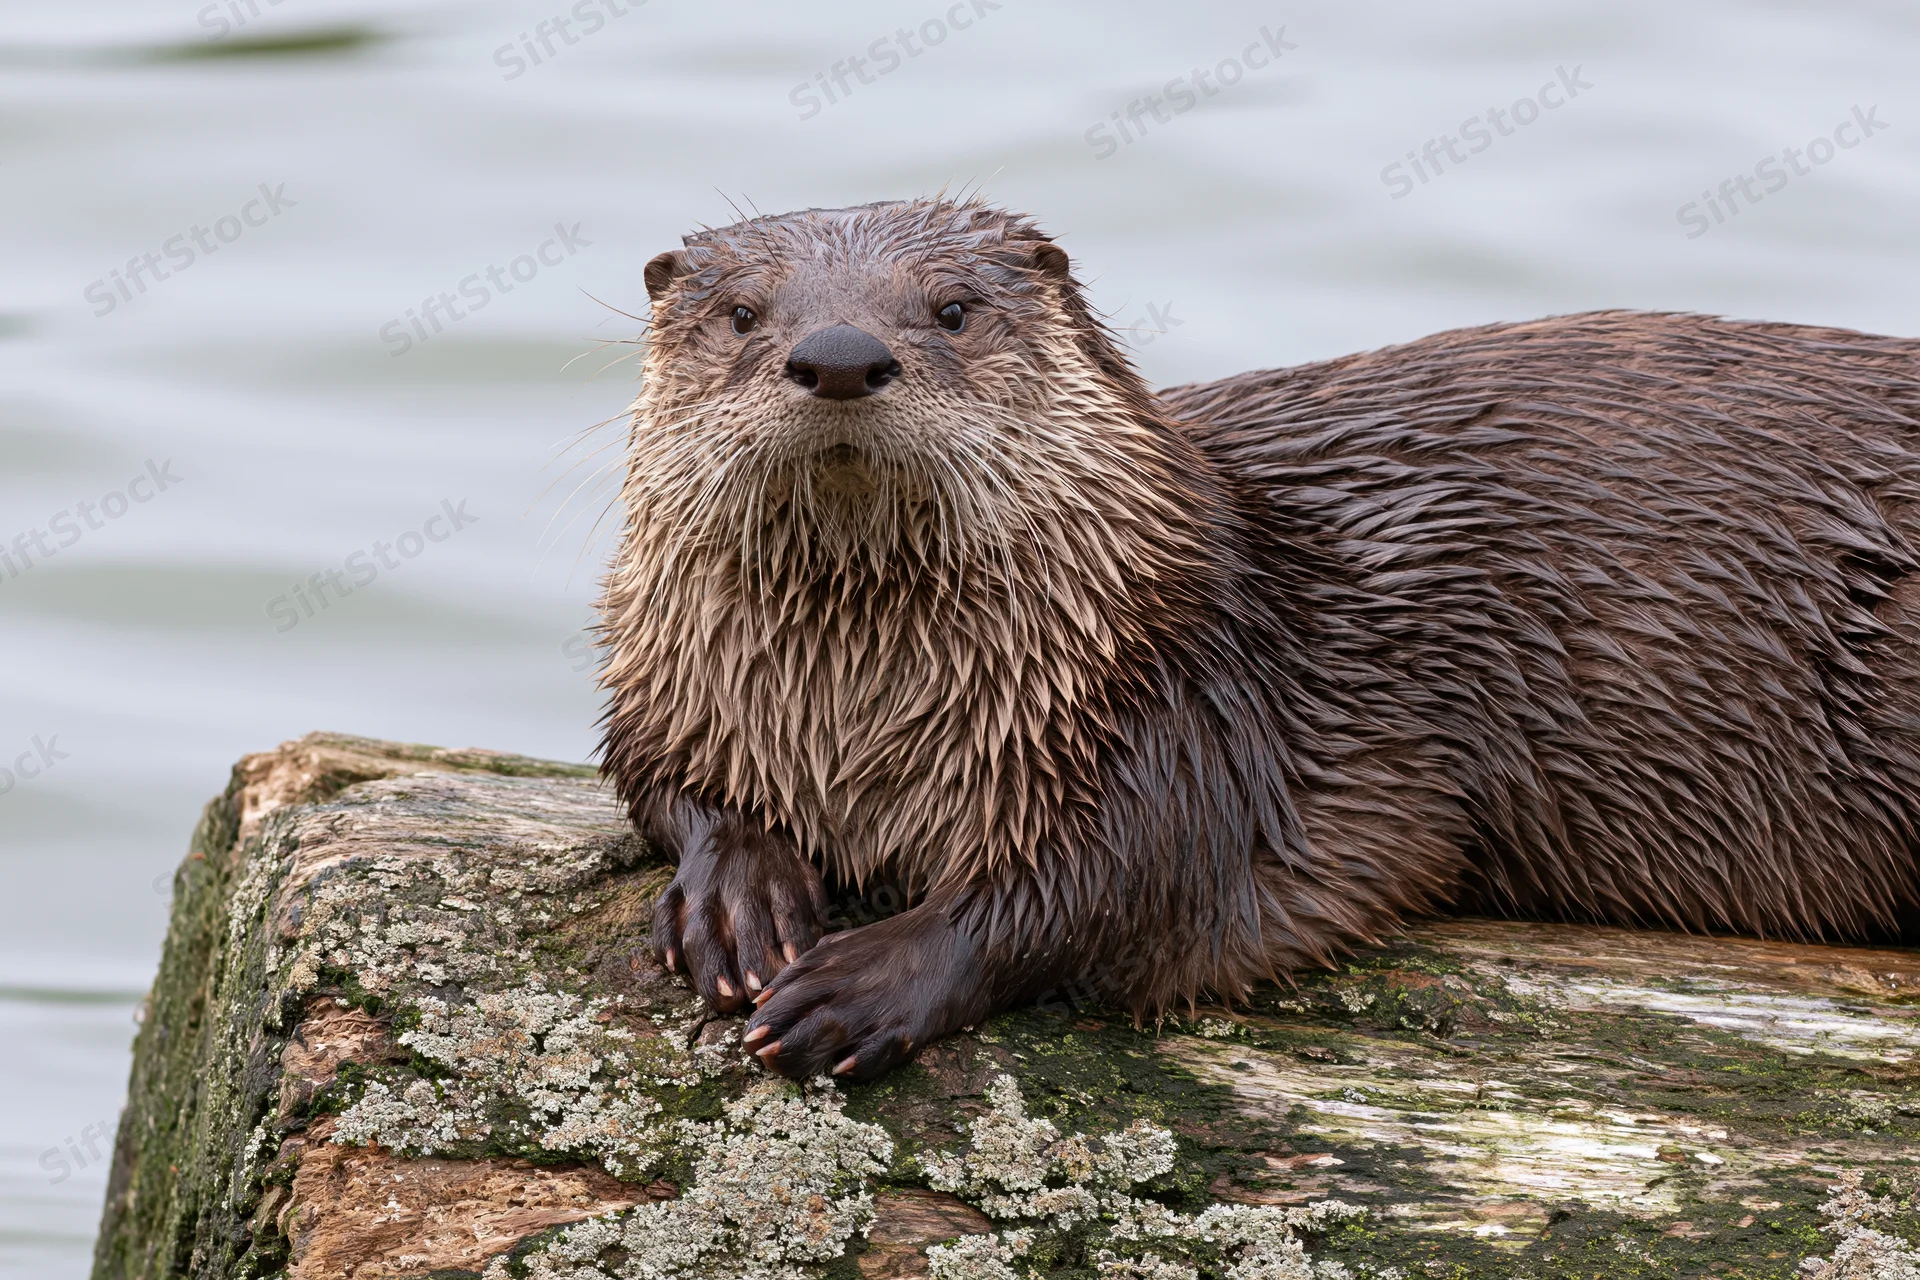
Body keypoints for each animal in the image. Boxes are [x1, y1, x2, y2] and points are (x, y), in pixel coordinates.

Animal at [597, 198, 1920, 1081]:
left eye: (952, 310)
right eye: (743, 314)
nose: (838, 355)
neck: (860, 713)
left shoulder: (1189, 711)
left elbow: (1112, 883)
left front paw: (866, 981)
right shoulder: (669, 665)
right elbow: (654, 772)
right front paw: (737, 890)